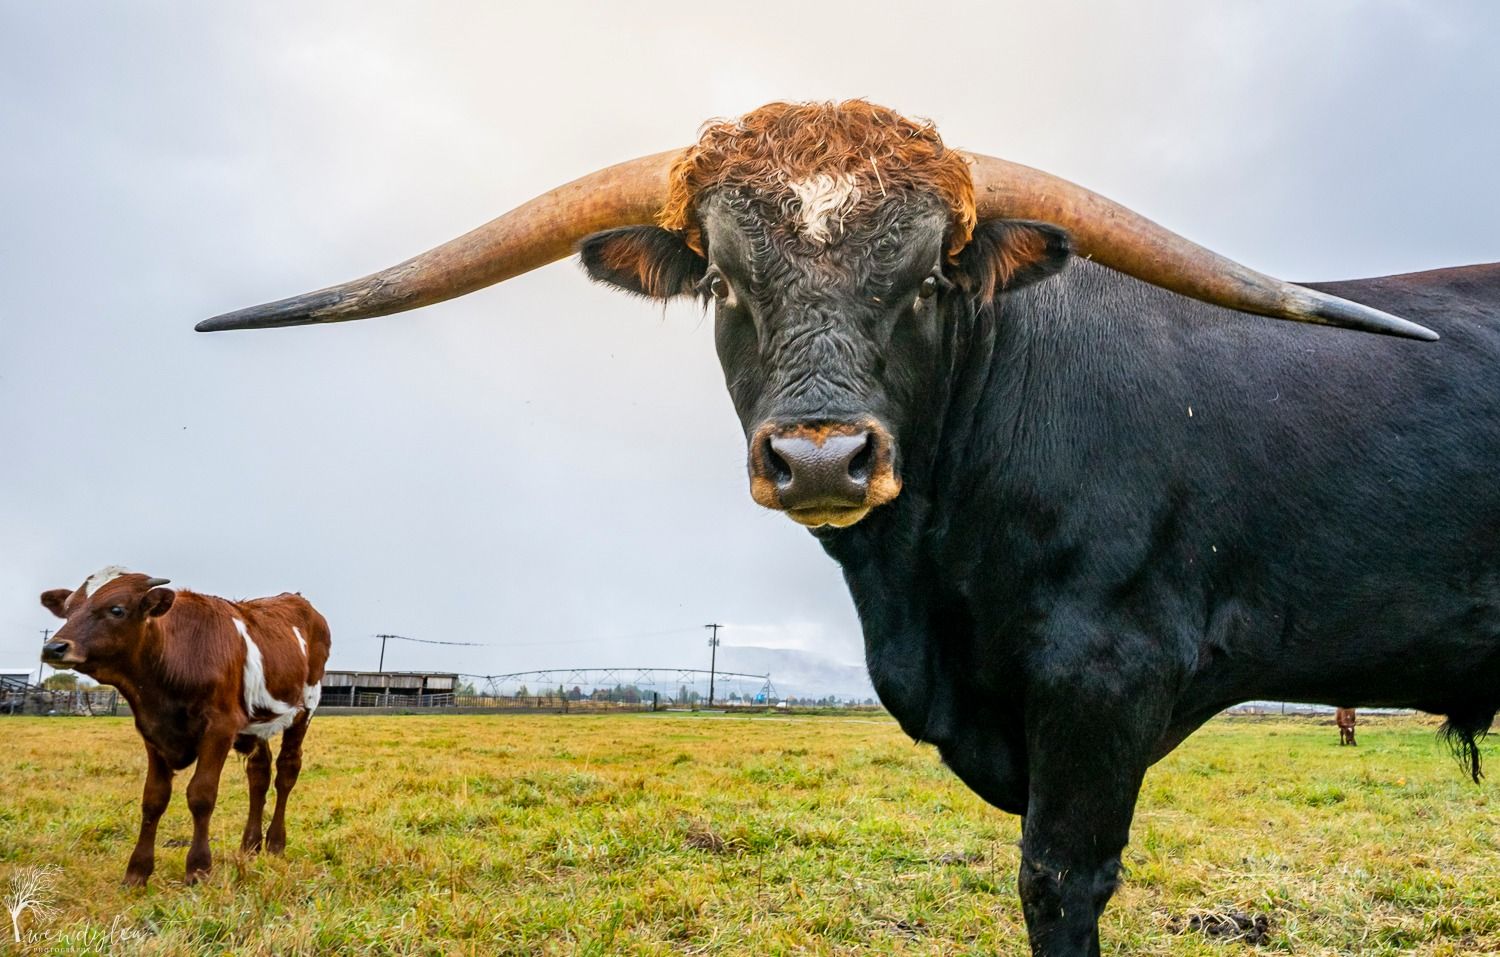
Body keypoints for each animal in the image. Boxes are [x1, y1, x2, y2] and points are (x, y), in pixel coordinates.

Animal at [39, 566, 330, 886]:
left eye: (116, 609)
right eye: (68, 610)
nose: (54, 648)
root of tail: (297, 599)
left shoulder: (220, 728)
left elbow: (201, 794)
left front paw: (199, 868)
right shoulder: (152, 731)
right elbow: (154, 798)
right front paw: (137, 871)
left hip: (305, 708)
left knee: (287, 771)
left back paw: (276, 843)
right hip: (258, 725)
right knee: (259, 774)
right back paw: (250, 846)